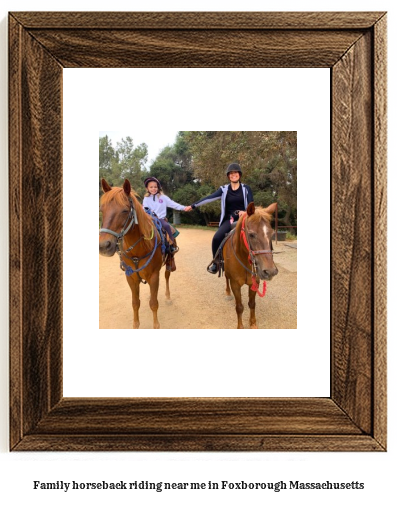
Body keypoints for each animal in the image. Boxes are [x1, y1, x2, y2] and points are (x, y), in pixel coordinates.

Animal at [98, 179, 170, 330]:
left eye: (125, 211)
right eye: (102, 210)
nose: (104, 246)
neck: (139, 249)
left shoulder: (154, 276)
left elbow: (154, 304)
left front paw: (156, 325)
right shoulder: (131, 278)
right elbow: (135, 302)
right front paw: (136, 324)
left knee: (167, 276)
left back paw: (168, 296)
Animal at [223, 202, 276, 330]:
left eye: (272, 234)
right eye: (251, 235)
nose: (270, 271)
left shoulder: (254, 283)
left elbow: (251, 304)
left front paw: (253, 323)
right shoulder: (235, 284)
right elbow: (239, 307)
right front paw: (240, 326)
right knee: (226, 278)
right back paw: (228, 293)